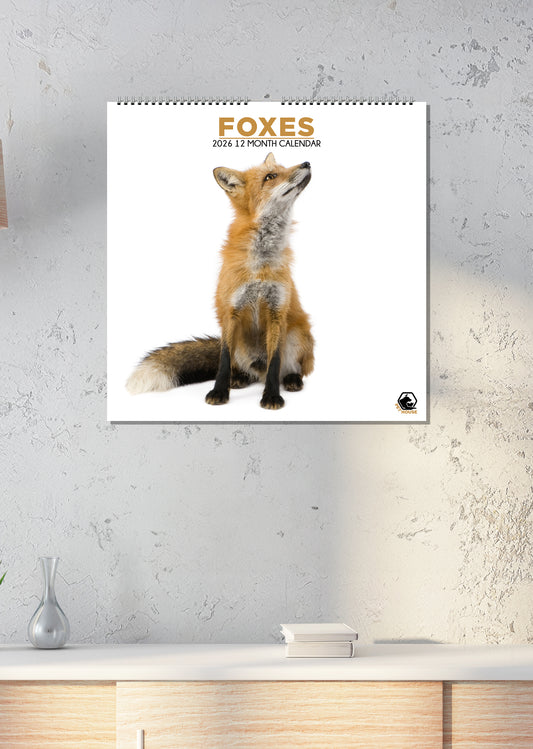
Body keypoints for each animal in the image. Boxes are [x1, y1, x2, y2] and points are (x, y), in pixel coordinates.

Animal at [126, 152, 314, 410]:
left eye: (283, 168)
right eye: (271, 176)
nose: (307, 163)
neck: (260, 265)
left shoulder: (277, 310)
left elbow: (275, 361)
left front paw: (271, 396)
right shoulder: (230, 310)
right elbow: (223, 361)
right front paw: (219, 392)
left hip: (297, 335)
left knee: (286, 368)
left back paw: (291, 379)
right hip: (240, 345)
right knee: (241, 367)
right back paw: (239, 378)